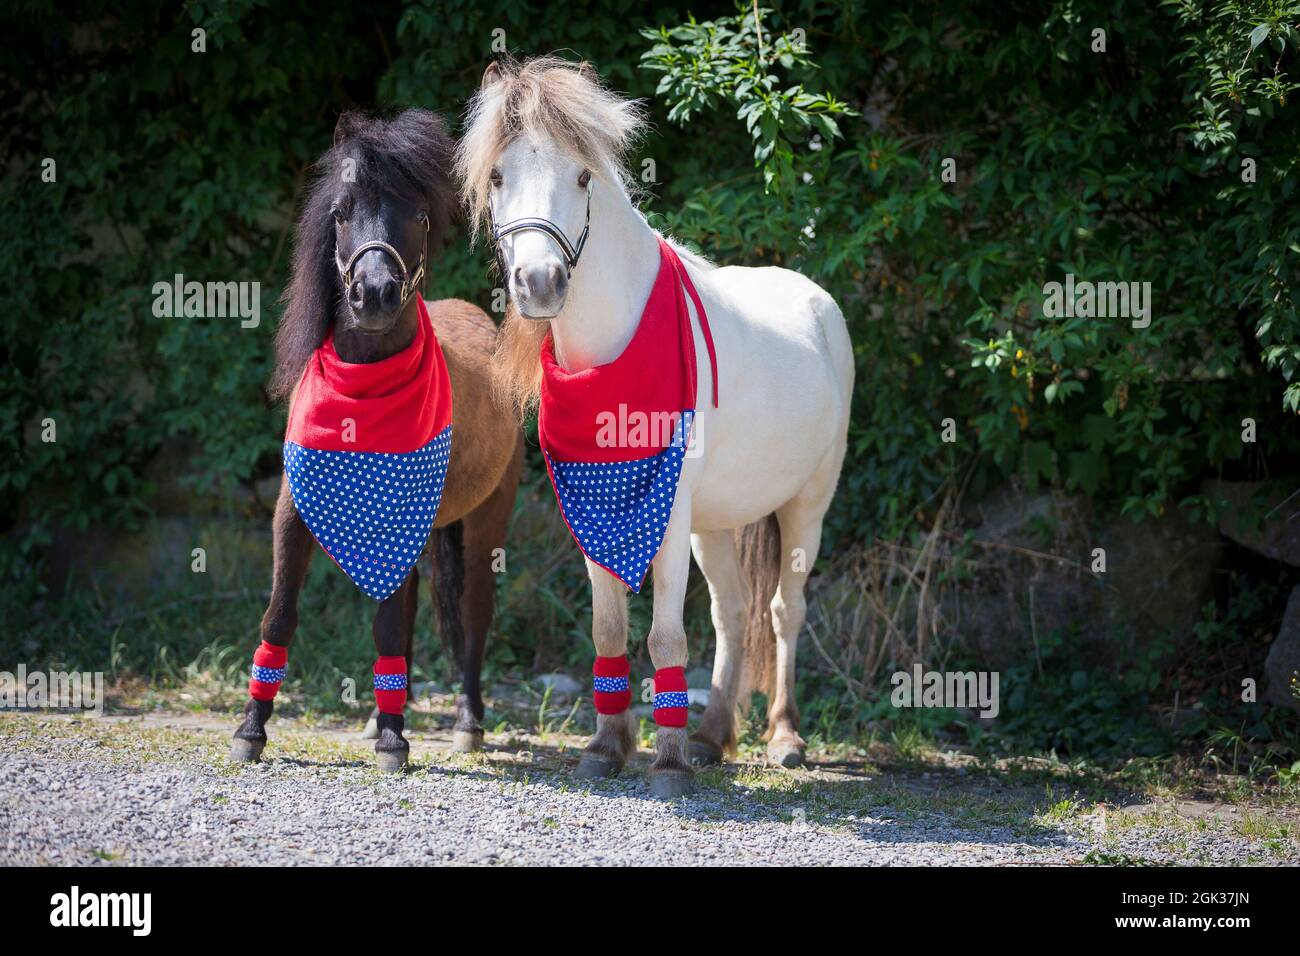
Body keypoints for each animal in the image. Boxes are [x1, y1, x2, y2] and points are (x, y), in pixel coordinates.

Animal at [231, 109, 523, 772]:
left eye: (418, 216)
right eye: (340, 212)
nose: (375, 294)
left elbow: (392, 625)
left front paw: (396, 741)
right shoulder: (293, 513)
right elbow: (279, 616)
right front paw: (251, 729)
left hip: (488, 516)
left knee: (475, 611)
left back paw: (467, 722)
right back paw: (380, 715)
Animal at [457, 58, 853, 796]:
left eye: (583, 177)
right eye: (497, 176)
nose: (539, 282)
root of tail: (819, 303)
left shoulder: (665, 519)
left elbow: (666, 636)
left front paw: (665, 765)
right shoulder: (594, 509)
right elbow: (609, 631)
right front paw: (607, 748)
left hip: (806, 504)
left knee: (783, 610)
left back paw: (784, 737)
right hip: (715, 520)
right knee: (733, 613)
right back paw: (711, 735)